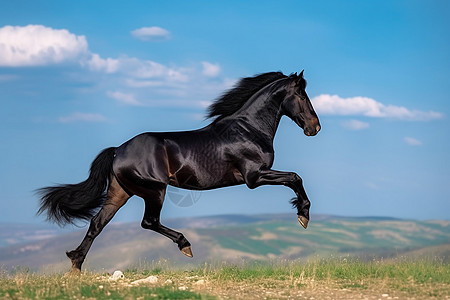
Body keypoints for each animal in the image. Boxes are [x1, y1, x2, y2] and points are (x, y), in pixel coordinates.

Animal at [37, 69, 320, 272]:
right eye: (302, 96)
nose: (315, 127)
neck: (248, 129)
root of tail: (118, 150)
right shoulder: (254, 176)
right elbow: (295, 177)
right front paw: (303, 215)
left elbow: (294, 178)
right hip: (155, 191)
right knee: (149, 222)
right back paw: (185, 245)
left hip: (121, 192)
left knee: (98, 223)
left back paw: (75, 264)